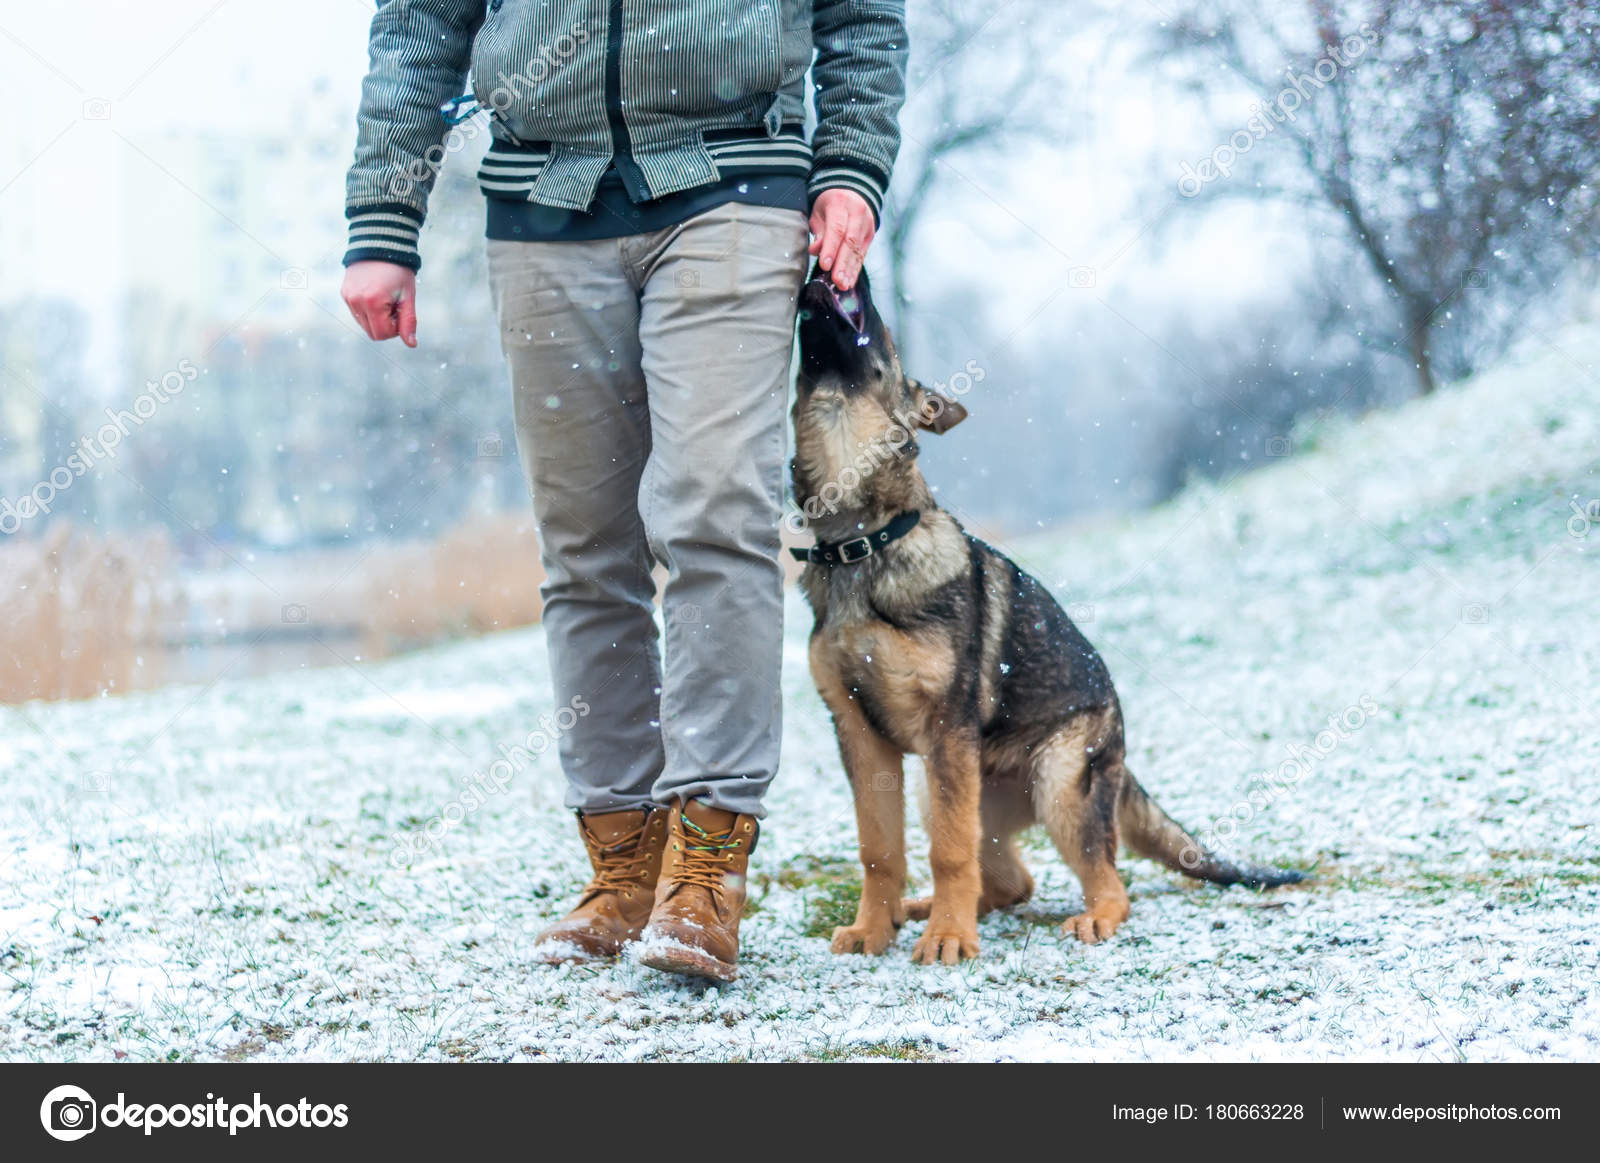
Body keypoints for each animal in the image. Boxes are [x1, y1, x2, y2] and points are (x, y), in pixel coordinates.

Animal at [787, 273, 1299, 966]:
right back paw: (921, 910)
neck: (862, 541)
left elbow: (948, 853)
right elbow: (878, 848)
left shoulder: (945, 728)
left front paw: (948, 940)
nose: (848, 271)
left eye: (880, 328)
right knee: (1012, 881)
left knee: (1104, 879)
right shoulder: (858, 734)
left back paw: (1082, 919)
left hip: (1055, 781)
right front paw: (874, 928)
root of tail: (1119, 747)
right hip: (943, 788)